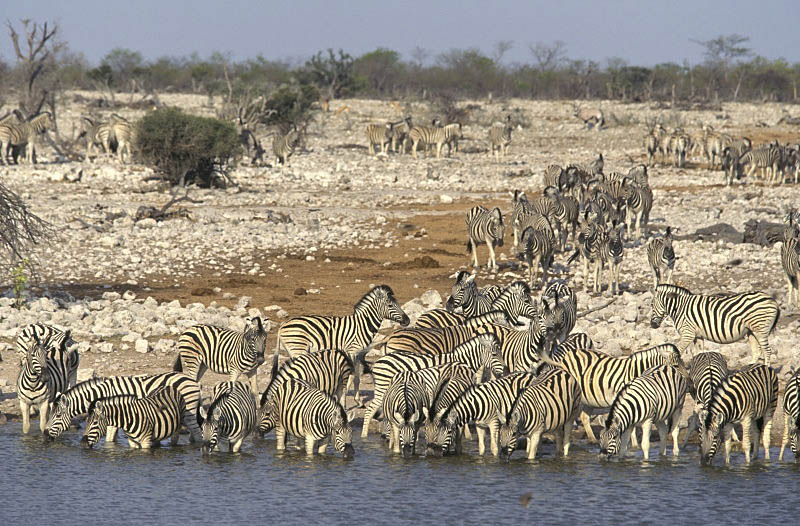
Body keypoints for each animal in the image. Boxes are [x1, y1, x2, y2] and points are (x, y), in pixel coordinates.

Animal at [46, 372, 203, 446]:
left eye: (57, 416)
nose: (46, 436)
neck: (103, 393)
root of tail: (193, 381)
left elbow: (109, 438)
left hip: (188, 411)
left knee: (196, 432)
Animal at [360, 334, 504, 442]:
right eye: (494, 354)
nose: (503, 371)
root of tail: (380, 359)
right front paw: (467, 435)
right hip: (383, 388)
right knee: (370, 410)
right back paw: (364, 436)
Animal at [544, 344, 688, 444]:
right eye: (676, 366)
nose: (689, 383)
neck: (637, 372)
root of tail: (567, 355)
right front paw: (634, 444)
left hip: (589, 399)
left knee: (584, 417)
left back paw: (592, 439)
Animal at [648, 284, 780, 368]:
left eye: (651, 304)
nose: (652, 325)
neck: (680, 308)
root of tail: (772, 299)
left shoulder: (687, 334)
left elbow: (676, 351)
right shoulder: (697, 336)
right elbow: (697, 353)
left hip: (761, 329)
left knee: (767, 350)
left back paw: (766, 368)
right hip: (751, 330)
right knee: (757, 350)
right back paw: (751, 367)